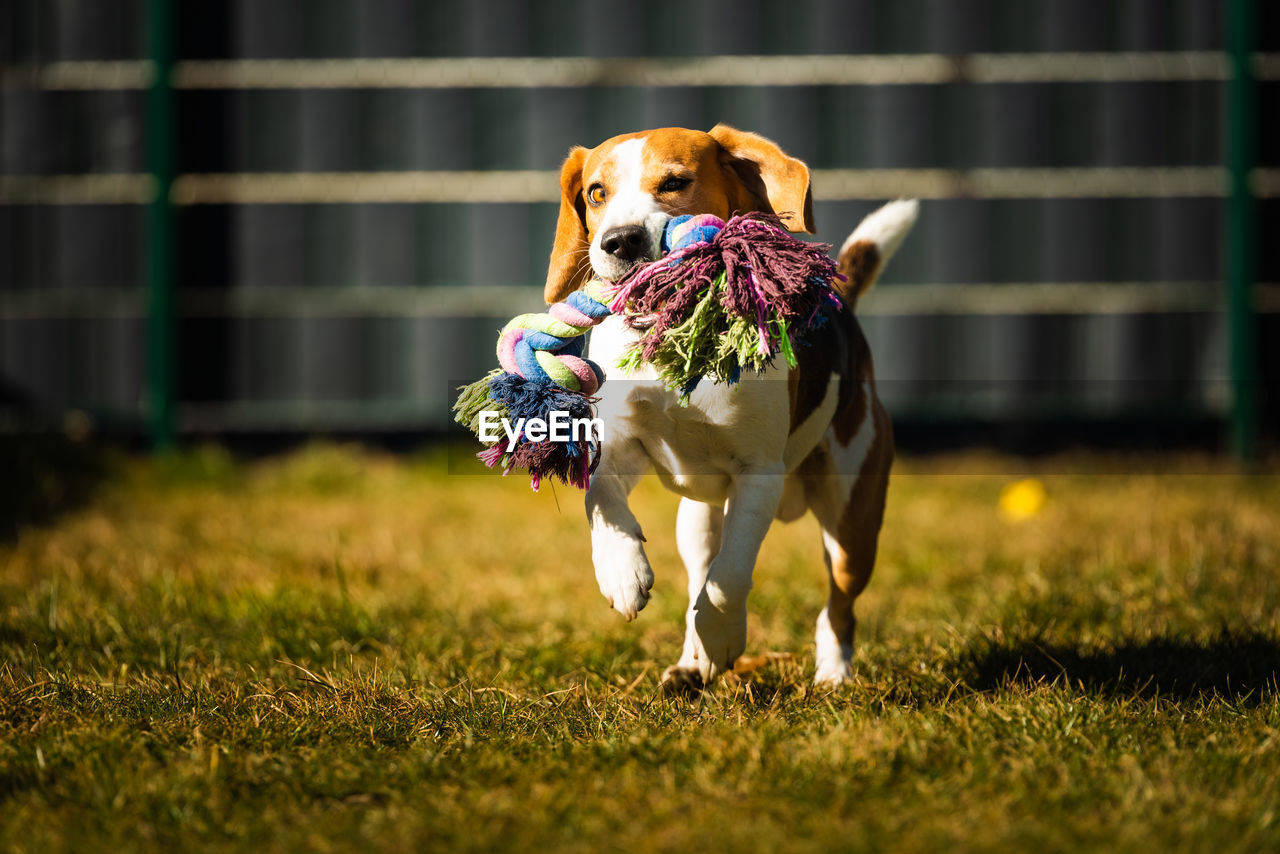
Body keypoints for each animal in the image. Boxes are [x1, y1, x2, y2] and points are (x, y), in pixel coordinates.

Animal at [545, 123, 916, 691]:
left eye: (675, 182)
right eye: (596, 192)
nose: (620, 240)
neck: (674, 333)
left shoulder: (758, 472)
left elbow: (732, 574)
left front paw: (722, 634)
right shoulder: (621, 446)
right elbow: (600, 500)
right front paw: (622, 573)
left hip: (853, 520)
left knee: (837, 603)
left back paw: (832, 672)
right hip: (696, 522)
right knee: (701, 569)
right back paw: (692, 663)